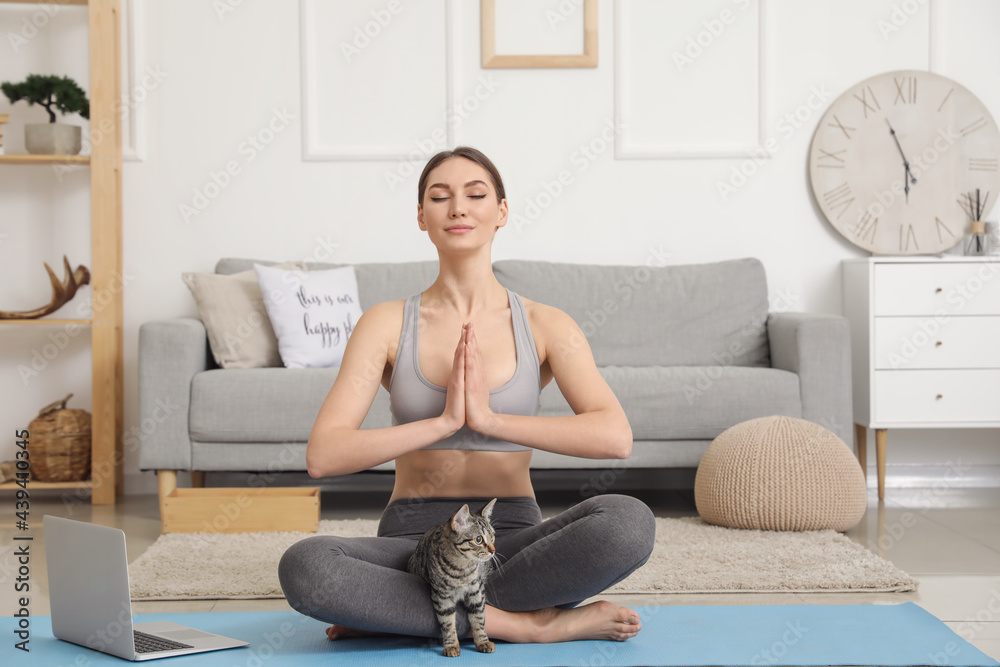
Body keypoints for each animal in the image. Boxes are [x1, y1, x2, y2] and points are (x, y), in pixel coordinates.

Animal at [408, 496, 498, 656]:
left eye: (492, 536)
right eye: (479, 539)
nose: (493, 551)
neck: (462, 568)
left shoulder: (476, 592)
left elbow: (479, 618)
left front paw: (483, 641)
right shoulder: (442, 596)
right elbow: (447, 622)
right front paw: (451, 645)